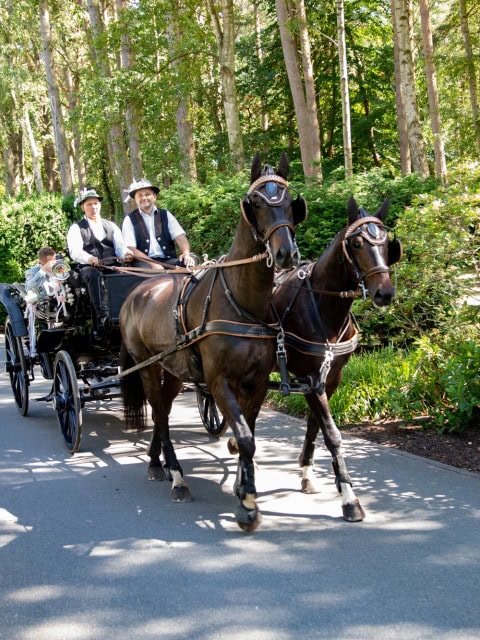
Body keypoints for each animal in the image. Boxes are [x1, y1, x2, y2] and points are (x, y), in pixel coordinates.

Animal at [120, 152, 308, 532]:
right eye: (255, 202)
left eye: (288, 200)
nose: (286, 254)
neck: (240, 301)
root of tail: (139, 290)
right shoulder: (219, 382)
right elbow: (246, 438)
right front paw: (247, 504)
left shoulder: (257, 383)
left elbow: (249, 434)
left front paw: (243, 486)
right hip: (147, 368)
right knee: (159, 414)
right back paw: (176, 475)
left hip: (174, 371)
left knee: (163, 410)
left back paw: (156, 462)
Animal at [270, 198, 402, 524]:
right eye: (356, 243)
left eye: (387, 243)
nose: (384, 293)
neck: (322, 305)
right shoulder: (310, 378)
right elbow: (332, 434)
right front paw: (349, 498)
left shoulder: (329, 379)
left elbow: (314, 426)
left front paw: (307, 474)